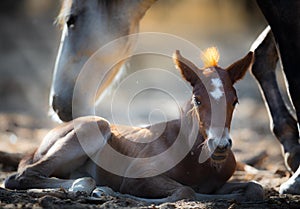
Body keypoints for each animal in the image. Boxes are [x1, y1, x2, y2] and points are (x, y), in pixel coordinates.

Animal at [4, 48, 262, 202]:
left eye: (234, 100)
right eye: (198, 99)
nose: (220, 146)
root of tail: (40, 144)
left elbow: (254, 189)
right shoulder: (138, 175)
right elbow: (185, 191)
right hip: (95, 127)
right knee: (21, 175)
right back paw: (90, 187)